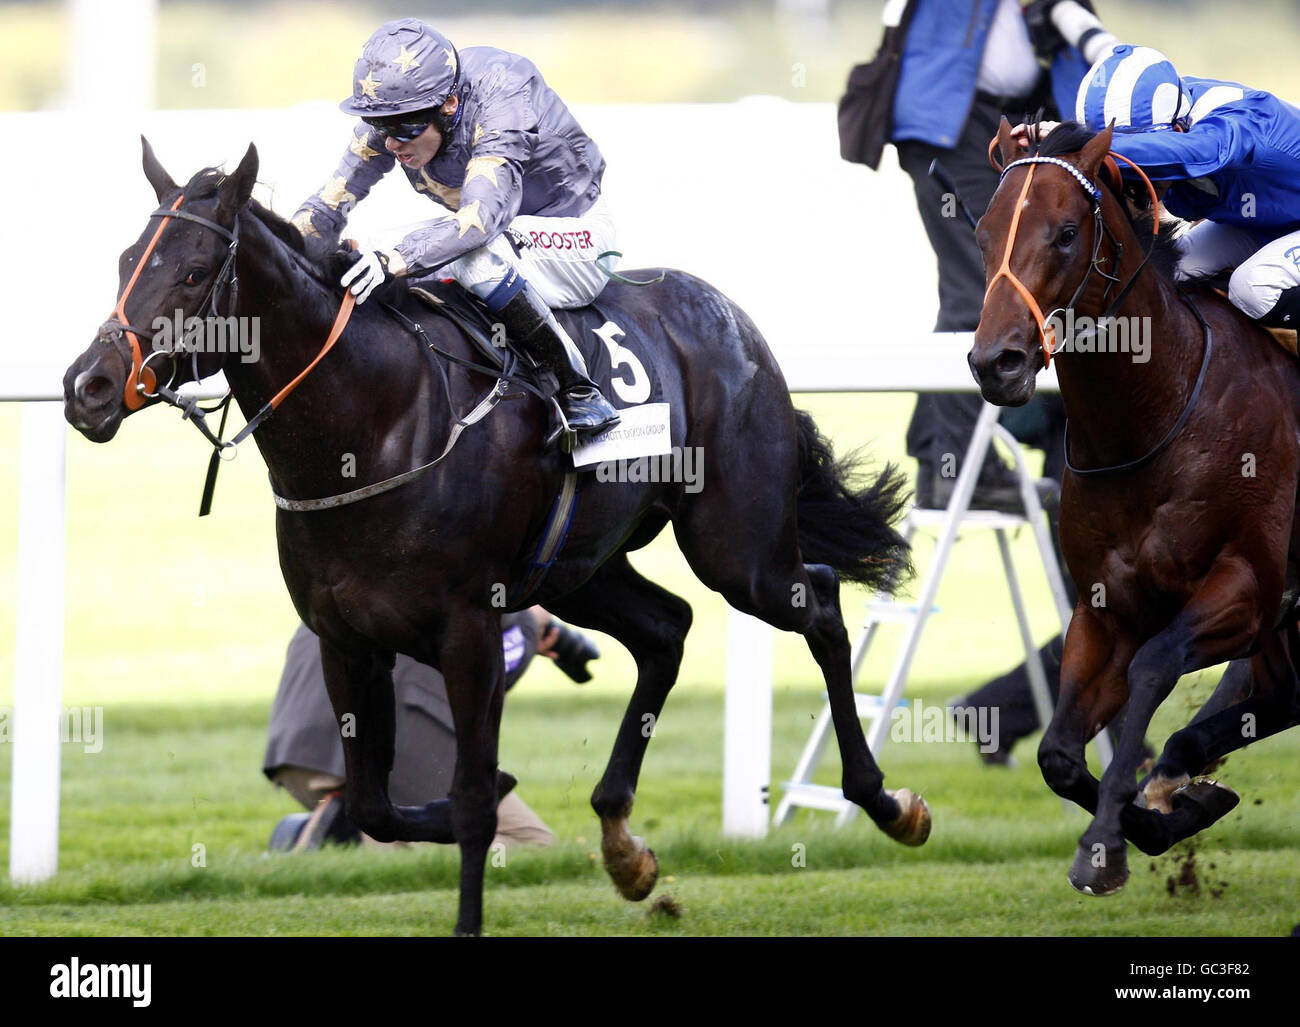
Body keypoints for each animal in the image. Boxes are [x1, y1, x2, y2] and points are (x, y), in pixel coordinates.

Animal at [63, 141, 935, 935]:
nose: (87, 387)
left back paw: (887, 800)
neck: (376, 422)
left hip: (738, 547)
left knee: (820, 603)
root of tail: (731, 316)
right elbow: (377, 804)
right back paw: (624, 844)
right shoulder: (346, 638)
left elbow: (477, 798)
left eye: (192, 270)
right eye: (125, 261)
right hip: (578, 570)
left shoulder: (469, 629)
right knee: (668, 628)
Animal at [972, 118, 1300, 894]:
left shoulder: (1246, 585)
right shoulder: (1103, 607)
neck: (1155, 418)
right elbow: (1059, 752)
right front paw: (1154, 819)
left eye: (1065, 233)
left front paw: (1109, 839)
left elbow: (1154, 665)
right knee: (1279, 695)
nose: (995, 362)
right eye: (981, 231)